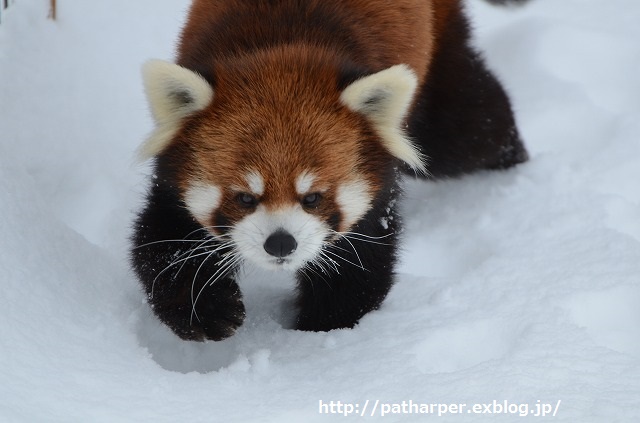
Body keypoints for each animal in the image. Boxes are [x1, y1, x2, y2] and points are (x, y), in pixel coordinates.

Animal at [130, 0, 524, 342]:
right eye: (244, 198)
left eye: (313, 198)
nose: (280, 243)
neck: (280, 54)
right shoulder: (172, 184)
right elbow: (162, 245)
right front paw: (209, 313)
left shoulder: (375, 193)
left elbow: (358, 272)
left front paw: (319, 340)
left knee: (468, 127)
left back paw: (513, 166)